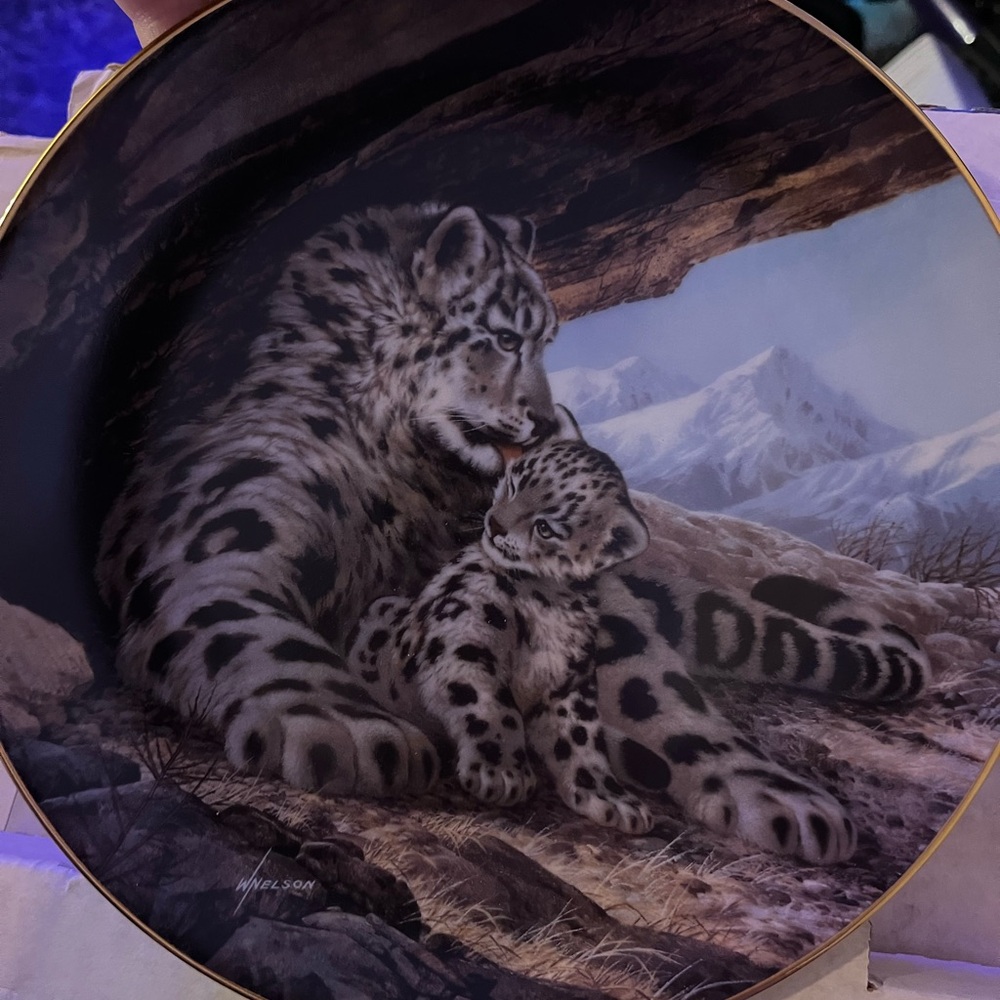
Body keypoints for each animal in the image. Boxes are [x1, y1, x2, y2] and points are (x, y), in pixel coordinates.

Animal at [348, 406, 655, 834]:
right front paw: (502, 774)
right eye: (515, 482)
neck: (546, 601)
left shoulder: (569, 681)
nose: (495, 525)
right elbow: (491, 704)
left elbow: (580, 739)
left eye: (546, 526)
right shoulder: (464, 636)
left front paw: (610, 799)